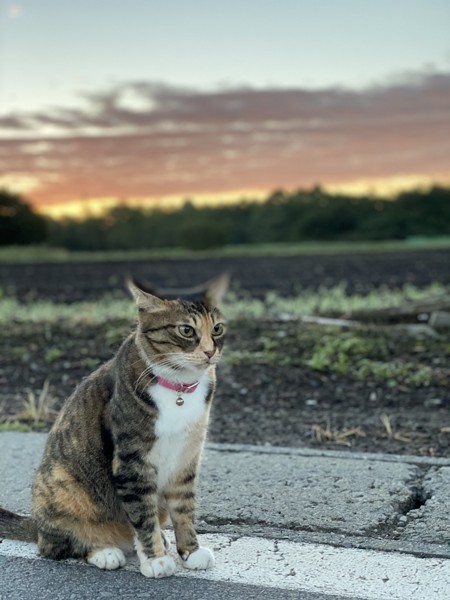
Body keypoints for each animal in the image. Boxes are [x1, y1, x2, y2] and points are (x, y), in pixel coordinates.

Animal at [0, 274, 229, 580]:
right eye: (186, 330)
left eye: (217, 328)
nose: (209, 351)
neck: (178, 389)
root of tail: (36, 524)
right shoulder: (132, 462)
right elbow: (143, 516)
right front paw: (156, 559)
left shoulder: (187, 457)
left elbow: (184, 507)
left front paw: (190, 551)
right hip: (64, 487)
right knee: (56, 546)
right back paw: (104, 551)